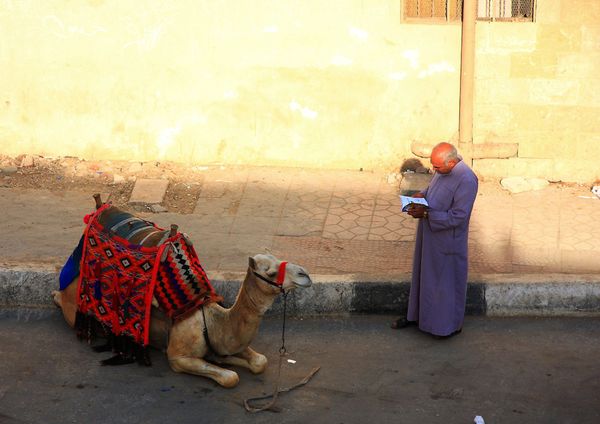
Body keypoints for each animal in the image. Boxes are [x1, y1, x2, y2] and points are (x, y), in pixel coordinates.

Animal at [51, 195, 312, 388]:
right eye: (270, 272)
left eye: (279, 259)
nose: (305, 275)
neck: (212, 321)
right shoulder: (177, 357)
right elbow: (230, 377)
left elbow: (260, 361)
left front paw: (225, 358)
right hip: (75, 308)